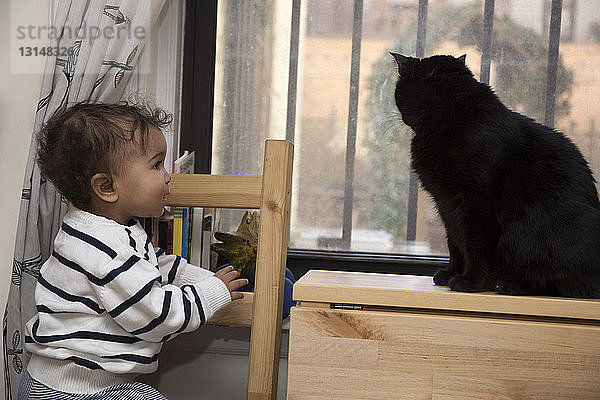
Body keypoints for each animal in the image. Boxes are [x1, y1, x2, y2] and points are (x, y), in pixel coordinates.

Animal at [390, 53, 600, 296]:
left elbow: (474, 245)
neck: (451, 116)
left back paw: (509, 285)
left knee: (560, 283)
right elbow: (454, 242)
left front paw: (469, 282)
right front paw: (450, 273)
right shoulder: (445, 203)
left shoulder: (476, 202)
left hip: (526, 232)